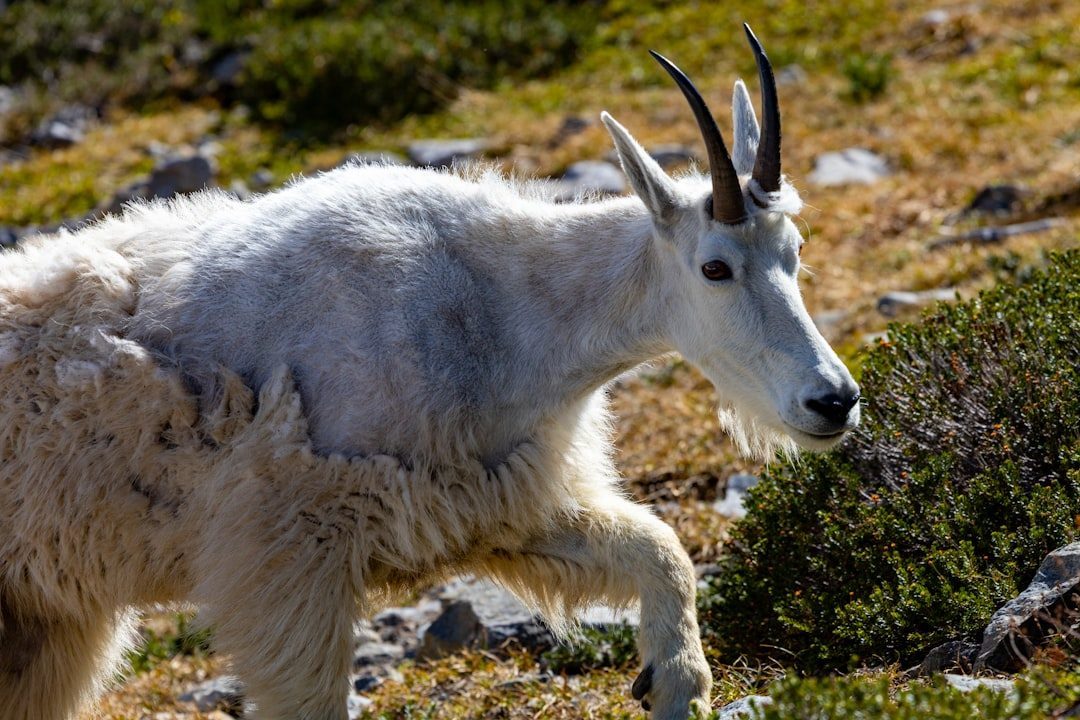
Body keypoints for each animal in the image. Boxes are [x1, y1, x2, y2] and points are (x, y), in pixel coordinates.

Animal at [0, 25, 858, 720]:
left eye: (796, 250)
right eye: (715, 267)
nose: (834, 400)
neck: (500, 308)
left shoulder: (503, 503)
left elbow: (663, 554)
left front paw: (671, 684)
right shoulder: (290, 549)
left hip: (46, 621)